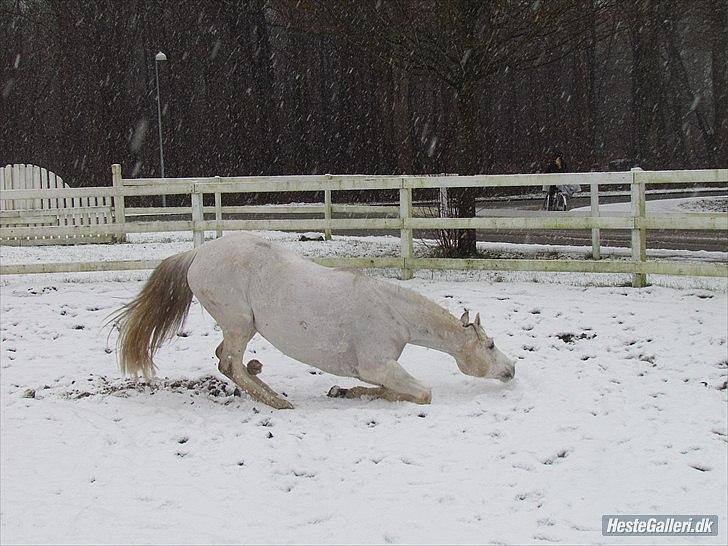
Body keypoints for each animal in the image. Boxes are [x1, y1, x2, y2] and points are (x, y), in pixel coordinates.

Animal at [112, 232, 512, 406]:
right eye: (491, 345)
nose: (511, 370)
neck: (393, 313)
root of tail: (197, 253)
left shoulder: (375, 370)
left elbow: (382, 389)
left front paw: (344, 391)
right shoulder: (378, 365)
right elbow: (422, 394)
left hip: (238, 325)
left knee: (226, 359)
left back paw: (263, 380)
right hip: (241, 322)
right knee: (229, 363)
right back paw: (278, 402)